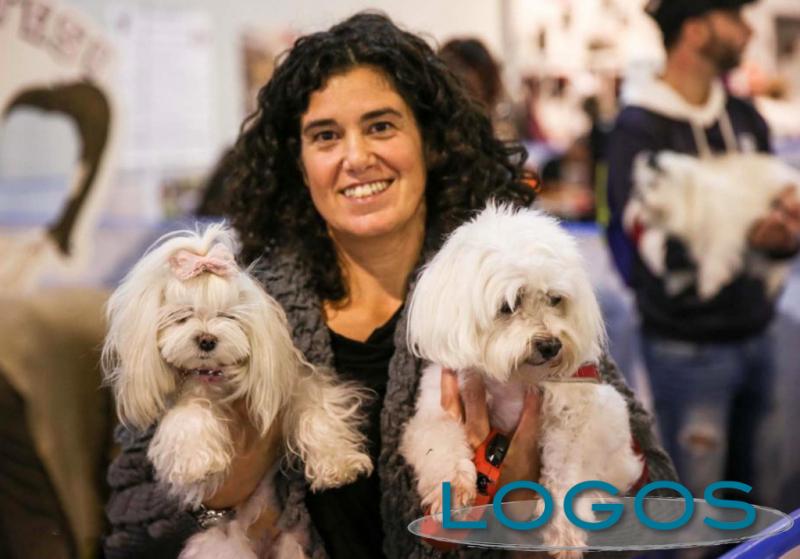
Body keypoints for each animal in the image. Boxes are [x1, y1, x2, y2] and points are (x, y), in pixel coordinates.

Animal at [103, 224, 372, 558]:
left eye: (228, 316)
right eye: (182, 316)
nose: (206, 340)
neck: (219, 376)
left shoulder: (291, 384)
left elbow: (317, 411)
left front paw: (338, 465)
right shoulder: (192, 393)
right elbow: (189, 415)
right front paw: (198, 463)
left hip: (291, 545)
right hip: (222, 545)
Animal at [400, 204, 643, 559]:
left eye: (555, 299)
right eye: (508, 305)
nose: (551, 345)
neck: (513, 380)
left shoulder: (573, 415)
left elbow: (565, 470)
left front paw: (565, 532)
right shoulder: (436, 409)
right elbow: (440, 442)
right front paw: (454, 487)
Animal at [628, 151, 800, 299]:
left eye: (653, 184)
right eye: (640, 187)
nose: (639, 196)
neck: (691, 200)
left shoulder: (721, 236)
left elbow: (713, 262)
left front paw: (708, 287)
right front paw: (677, 283)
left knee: (777, 267)